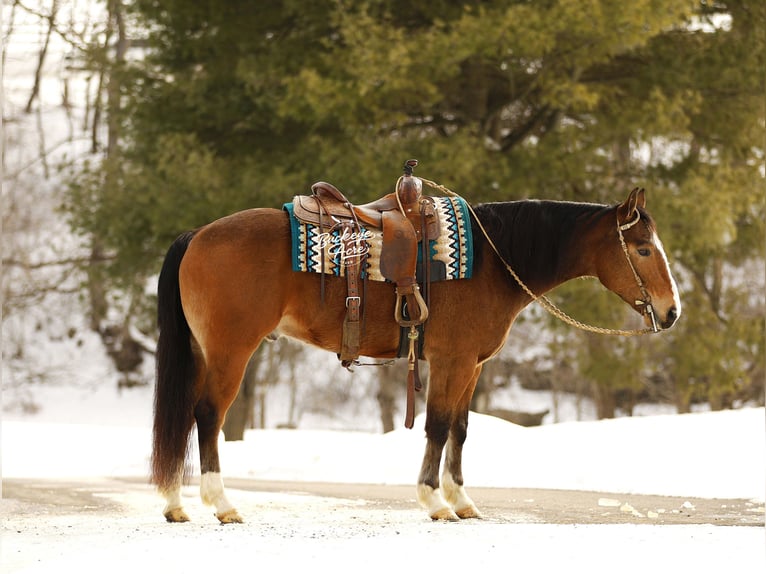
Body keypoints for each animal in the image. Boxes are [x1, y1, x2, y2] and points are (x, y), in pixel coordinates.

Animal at [151, 185, 681, 523]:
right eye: (642, 248)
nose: (672, 311)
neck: (492, 262)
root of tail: (198, 235)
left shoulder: (472, 367)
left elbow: (461, 430)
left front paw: (461, 500)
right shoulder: (452, 362)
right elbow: (439, 426)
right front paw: (434, 502)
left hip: (201, 351)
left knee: (180, 415)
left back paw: (176, 504)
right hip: (230, 352)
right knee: (207, 415)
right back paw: (222, 505)